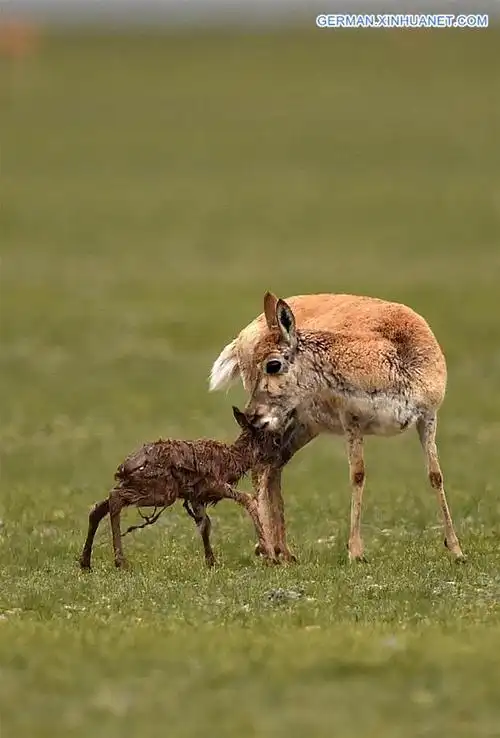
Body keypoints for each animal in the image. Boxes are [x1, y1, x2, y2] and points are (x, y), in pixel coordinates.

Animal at [208, 291, 465, 564]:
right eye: (258, 363)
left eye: (272, 364)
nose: (251, 415)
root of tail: (243, 335)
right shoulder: (351, 420)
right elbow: (358, 474)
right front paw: (356, 552)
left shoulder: (428, 416)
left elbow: (435, 475)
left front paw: (457, 549)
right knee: (262, 468)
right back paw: (269, 552)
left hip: (303, 426)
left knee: (273, 465)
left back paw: (283, 552)